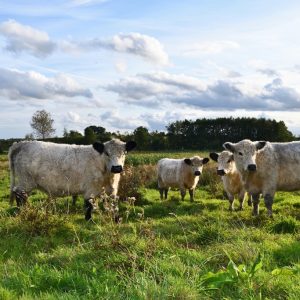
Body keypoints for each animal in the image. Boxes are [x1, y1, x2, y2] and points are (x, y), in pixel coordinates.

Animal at [8, 139, 137, 220]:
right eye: (106, 153)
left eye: (125, 152)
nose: (117, 167)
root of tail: (21, 143)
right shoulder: (90, 188)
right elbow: (89, 205)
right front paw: (89, 220)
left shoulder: (112, 189)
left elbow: (114, 204)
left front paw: (117, 219)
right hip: (25, 181)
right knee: (20, 195)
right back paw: (23, 211)